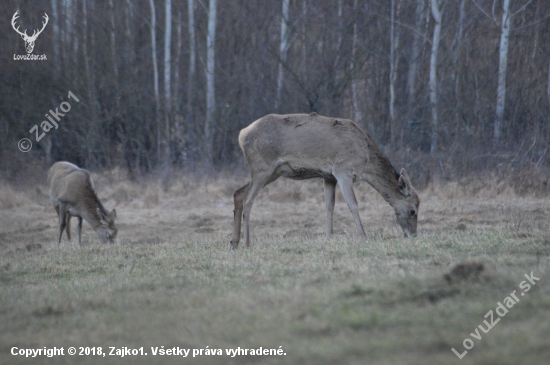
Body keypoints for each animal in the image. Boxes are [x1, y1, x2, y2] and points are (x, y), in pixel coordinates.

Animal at [231, 113, 420, 247]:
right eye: (413, 210)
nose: (413, 235)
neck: (366, 160)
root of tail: (242, 134)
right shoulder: (343, 169)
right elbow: (353, 205)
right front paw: (364, 238)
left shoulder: (328, 176)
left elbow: (329, 206)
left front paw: (329, 238)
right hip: (262, 167)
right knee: (249, 200)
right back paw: (247, 243)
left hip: (271, 173)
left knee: (239, 193)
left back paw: (234, 242)